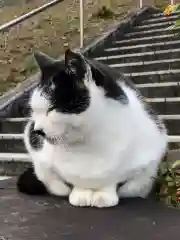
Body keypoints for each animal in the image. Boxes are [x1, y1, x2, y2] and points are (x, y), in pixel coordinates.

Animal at [17, 49, 168, 208]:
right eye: (35, 111)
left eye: (51, 108)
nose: (37, 130)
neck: (87, 144)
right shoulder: (39, 154)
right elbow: (68, 180)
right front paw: (81, 194)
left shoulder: (148, 155)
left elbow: (116, 180)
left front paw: (104, 196)